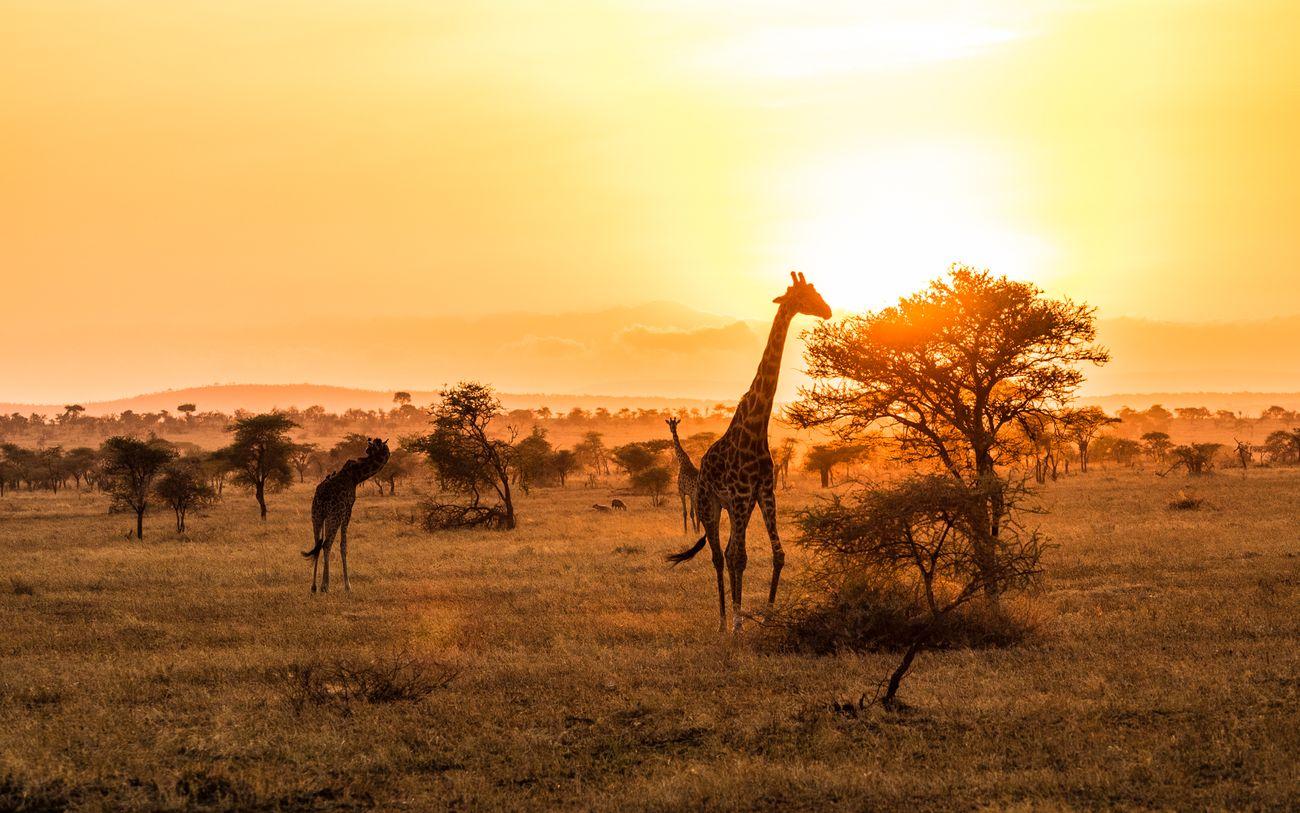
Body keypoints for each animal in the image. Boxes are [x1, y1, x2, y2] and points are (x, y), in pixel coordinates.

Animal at [301, 437, 387, 590]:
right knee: (326, 544)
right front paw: (348, 585)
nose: (368, 442)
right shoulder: (347, 511)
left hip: (316, 515)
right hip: (334, 516)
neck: (356, 476)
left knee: (318, 543)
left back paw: (314, 587)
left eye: (376, 445)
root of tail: (322, 497)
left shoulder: (329, 515)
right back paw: (325, 586)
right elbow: (343, 545)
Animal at [670, 269, 832, 632]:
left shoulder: (764, 492)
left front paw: (768, 617)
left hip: (734, 508)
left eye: (816, 291)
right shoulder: (742, 495)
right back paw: (721, 620)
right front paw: (737, 623)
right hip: (711, 504)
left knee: (729, 552)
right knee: (720, 556)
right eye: (806, 296)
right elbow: (737, 557)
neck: (757, 427)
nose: (827, 310)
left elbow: (778, 554)